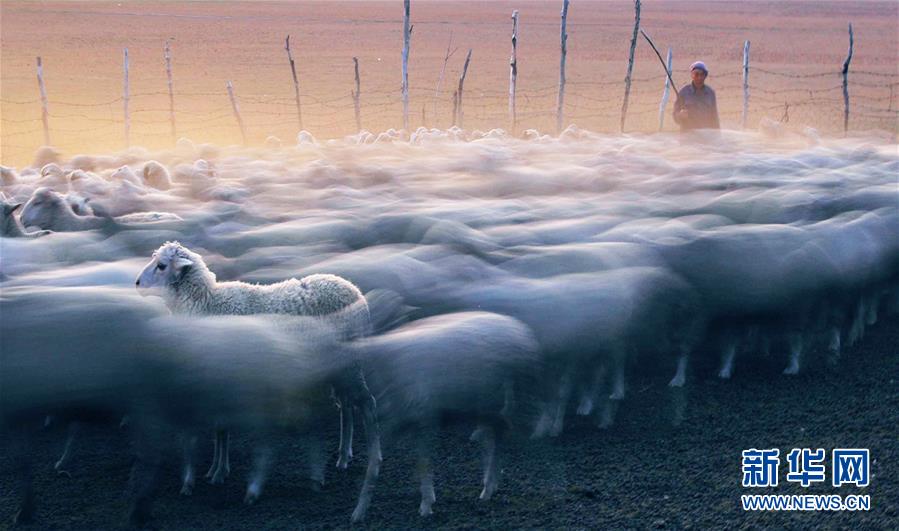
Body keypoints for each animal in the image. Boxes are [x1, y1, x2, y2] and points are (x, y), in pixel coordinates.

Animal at [135, 243, 382, 500]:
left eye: (161, 265)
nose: (137, 284)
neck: (207, 304)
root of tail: (355, 291)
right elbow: (219, 427)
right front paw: (215, 470)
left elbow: (222, 427)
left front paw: (219, 472)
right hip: (338, 367)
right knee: (347, 406)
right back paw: (344, 456)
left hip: (349, 364)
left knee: (367, 403)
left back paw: (373, 460)